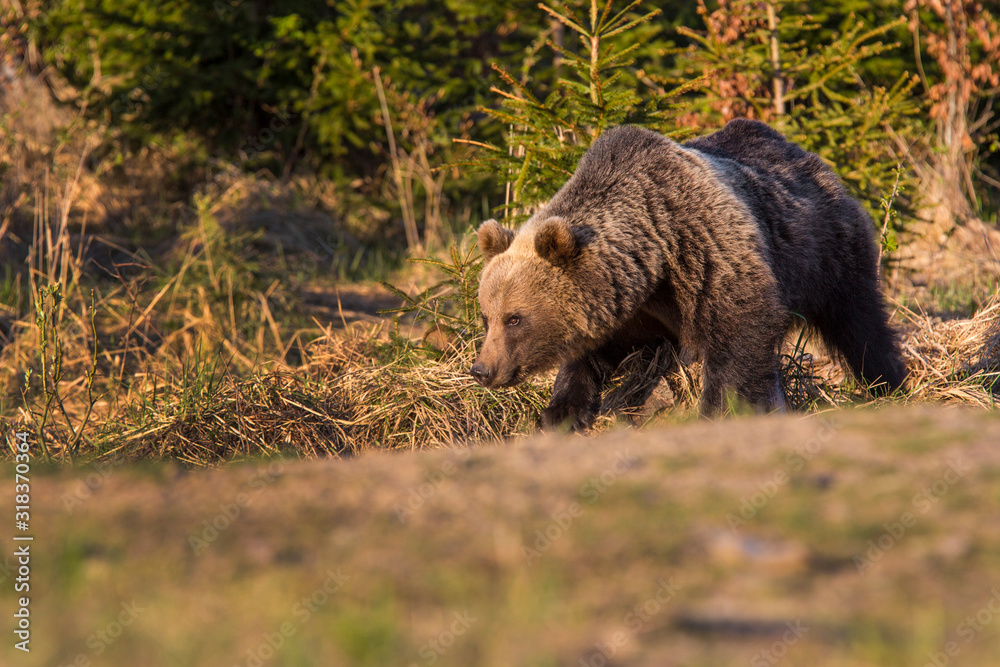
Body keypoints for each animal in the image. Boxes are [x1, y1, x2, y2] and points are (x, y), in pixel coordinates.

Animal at [469, 119, 907, 430]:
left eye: (515, 318)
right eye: (487, 317)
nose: (481, 370)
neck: (651, 254)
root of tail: (802, 152)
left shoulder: (703, 251)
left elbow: (739, 334)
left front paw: (721, 409)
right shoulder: (629, 307)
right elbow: (592, 356)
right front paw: (559, 413)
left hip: (826, 251)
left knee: (858, 322)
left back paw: (888, 383)